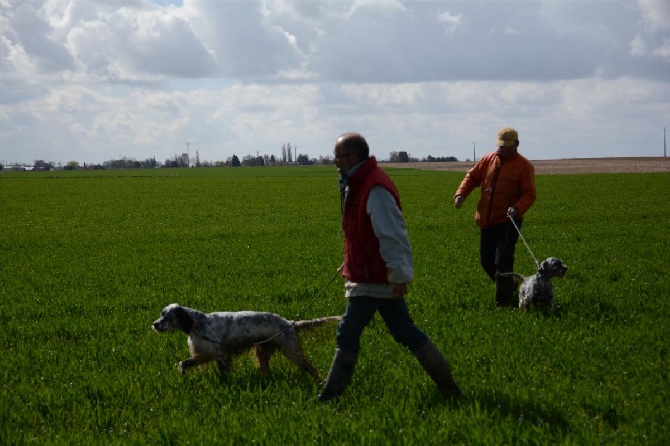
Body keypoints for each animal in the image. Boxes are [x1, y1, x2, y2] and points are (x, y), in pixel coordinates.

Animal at [152, 304, 342, 382]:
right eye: (161, 314)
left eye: (166, 316)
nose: (154, 324)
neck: (197, 322)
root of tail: (289, 323)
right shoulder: (203, 353)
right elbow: (183, 363)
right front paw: (182, 374)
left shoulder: (220, 354)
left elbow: (224, 372)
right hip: (262, 351)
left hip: (292, 350)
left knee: (311, 368)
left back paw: (320, 382)